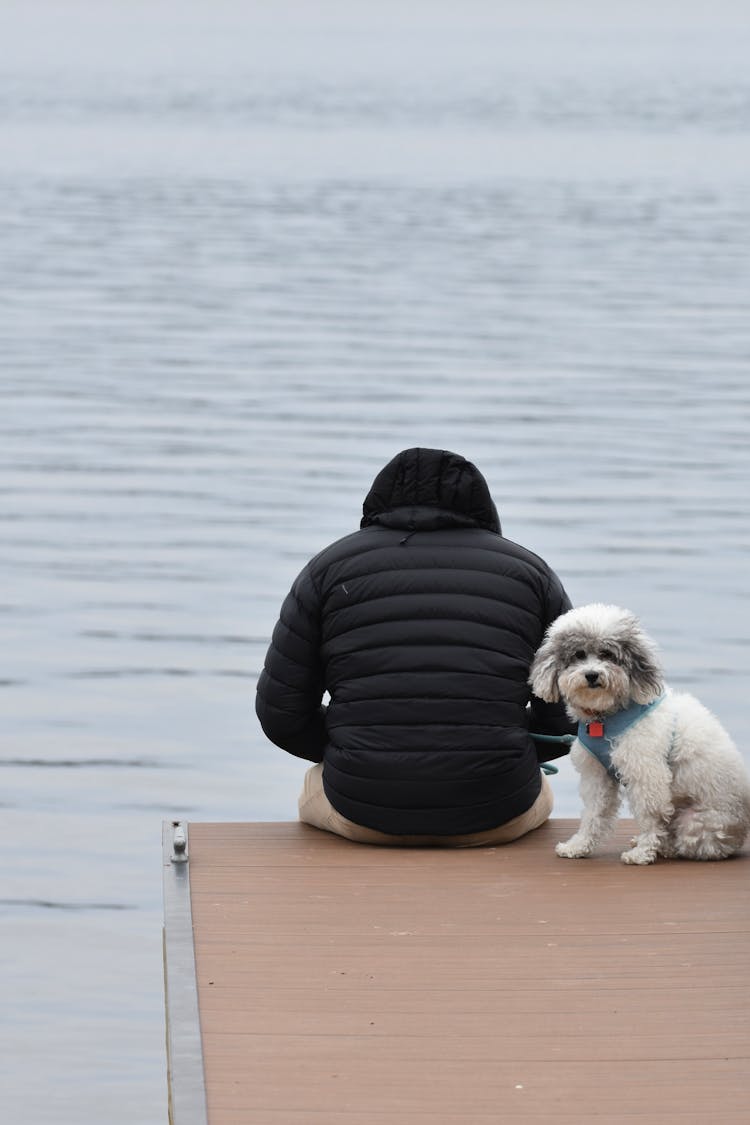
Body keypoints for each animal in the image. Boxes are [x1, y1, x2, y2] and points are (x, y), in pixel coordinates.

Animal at [528, 607, 750, 859]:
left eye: (607, 654)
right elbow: (593, 813)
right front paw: (578, 846)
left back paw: (661, 846)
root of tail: (739, 833)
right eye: (578, 654)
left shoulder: (646, 773)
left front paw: (642, 853)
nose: (592, 674)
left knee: (689, 844)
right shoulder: (597, 775)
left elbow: (650, 815)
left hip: (693, 822)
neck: (606, 717)